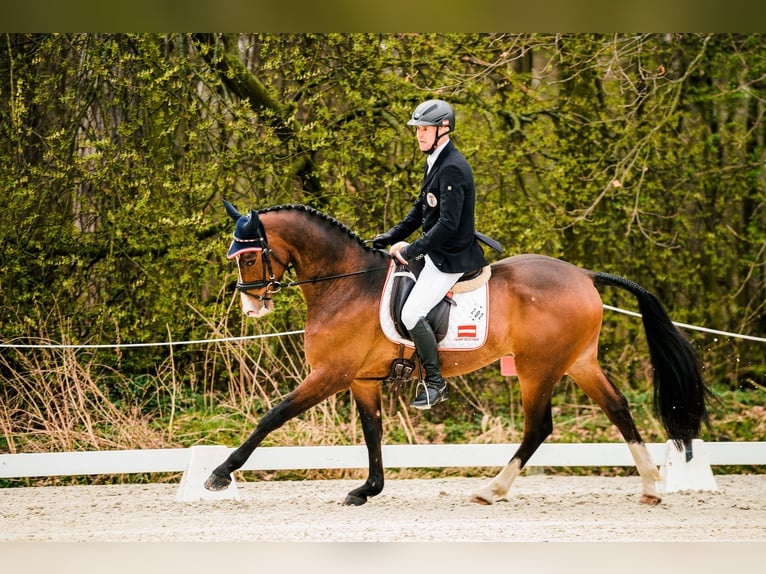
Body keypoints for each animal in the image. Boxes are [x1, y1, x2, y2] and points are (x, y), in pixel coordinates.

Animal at [206, 202, 712, 508]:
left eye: (248, 257)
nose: (251, 307)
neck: (347, 284)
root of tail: (585, 276)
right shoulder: (361, 379)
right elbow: (372, 434)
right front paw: (368, 489)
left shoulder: (331, 374)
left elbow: (273, 417)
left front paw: (219, 474)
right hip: (579, 362)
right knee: (619, 408)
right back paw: (650, 486)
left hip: (537, 368)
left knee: (539, 427)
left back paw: (492, 488)